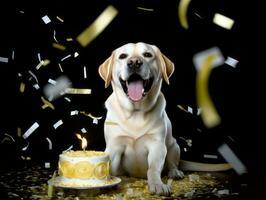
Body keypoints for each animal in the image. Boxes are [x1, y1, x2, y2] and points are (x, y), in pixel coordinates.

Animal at [98, 41, 230, 195]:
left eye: (147, 54)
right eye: (123, 56)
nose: (134, 62)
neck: (136, 111)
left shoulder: (157, 146)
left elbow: (153, 169)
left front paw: (157, 184)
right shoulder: (114, 146)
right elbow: (109, 166)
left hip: (174, 145)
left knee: (173, 163)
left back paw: (175, 172)